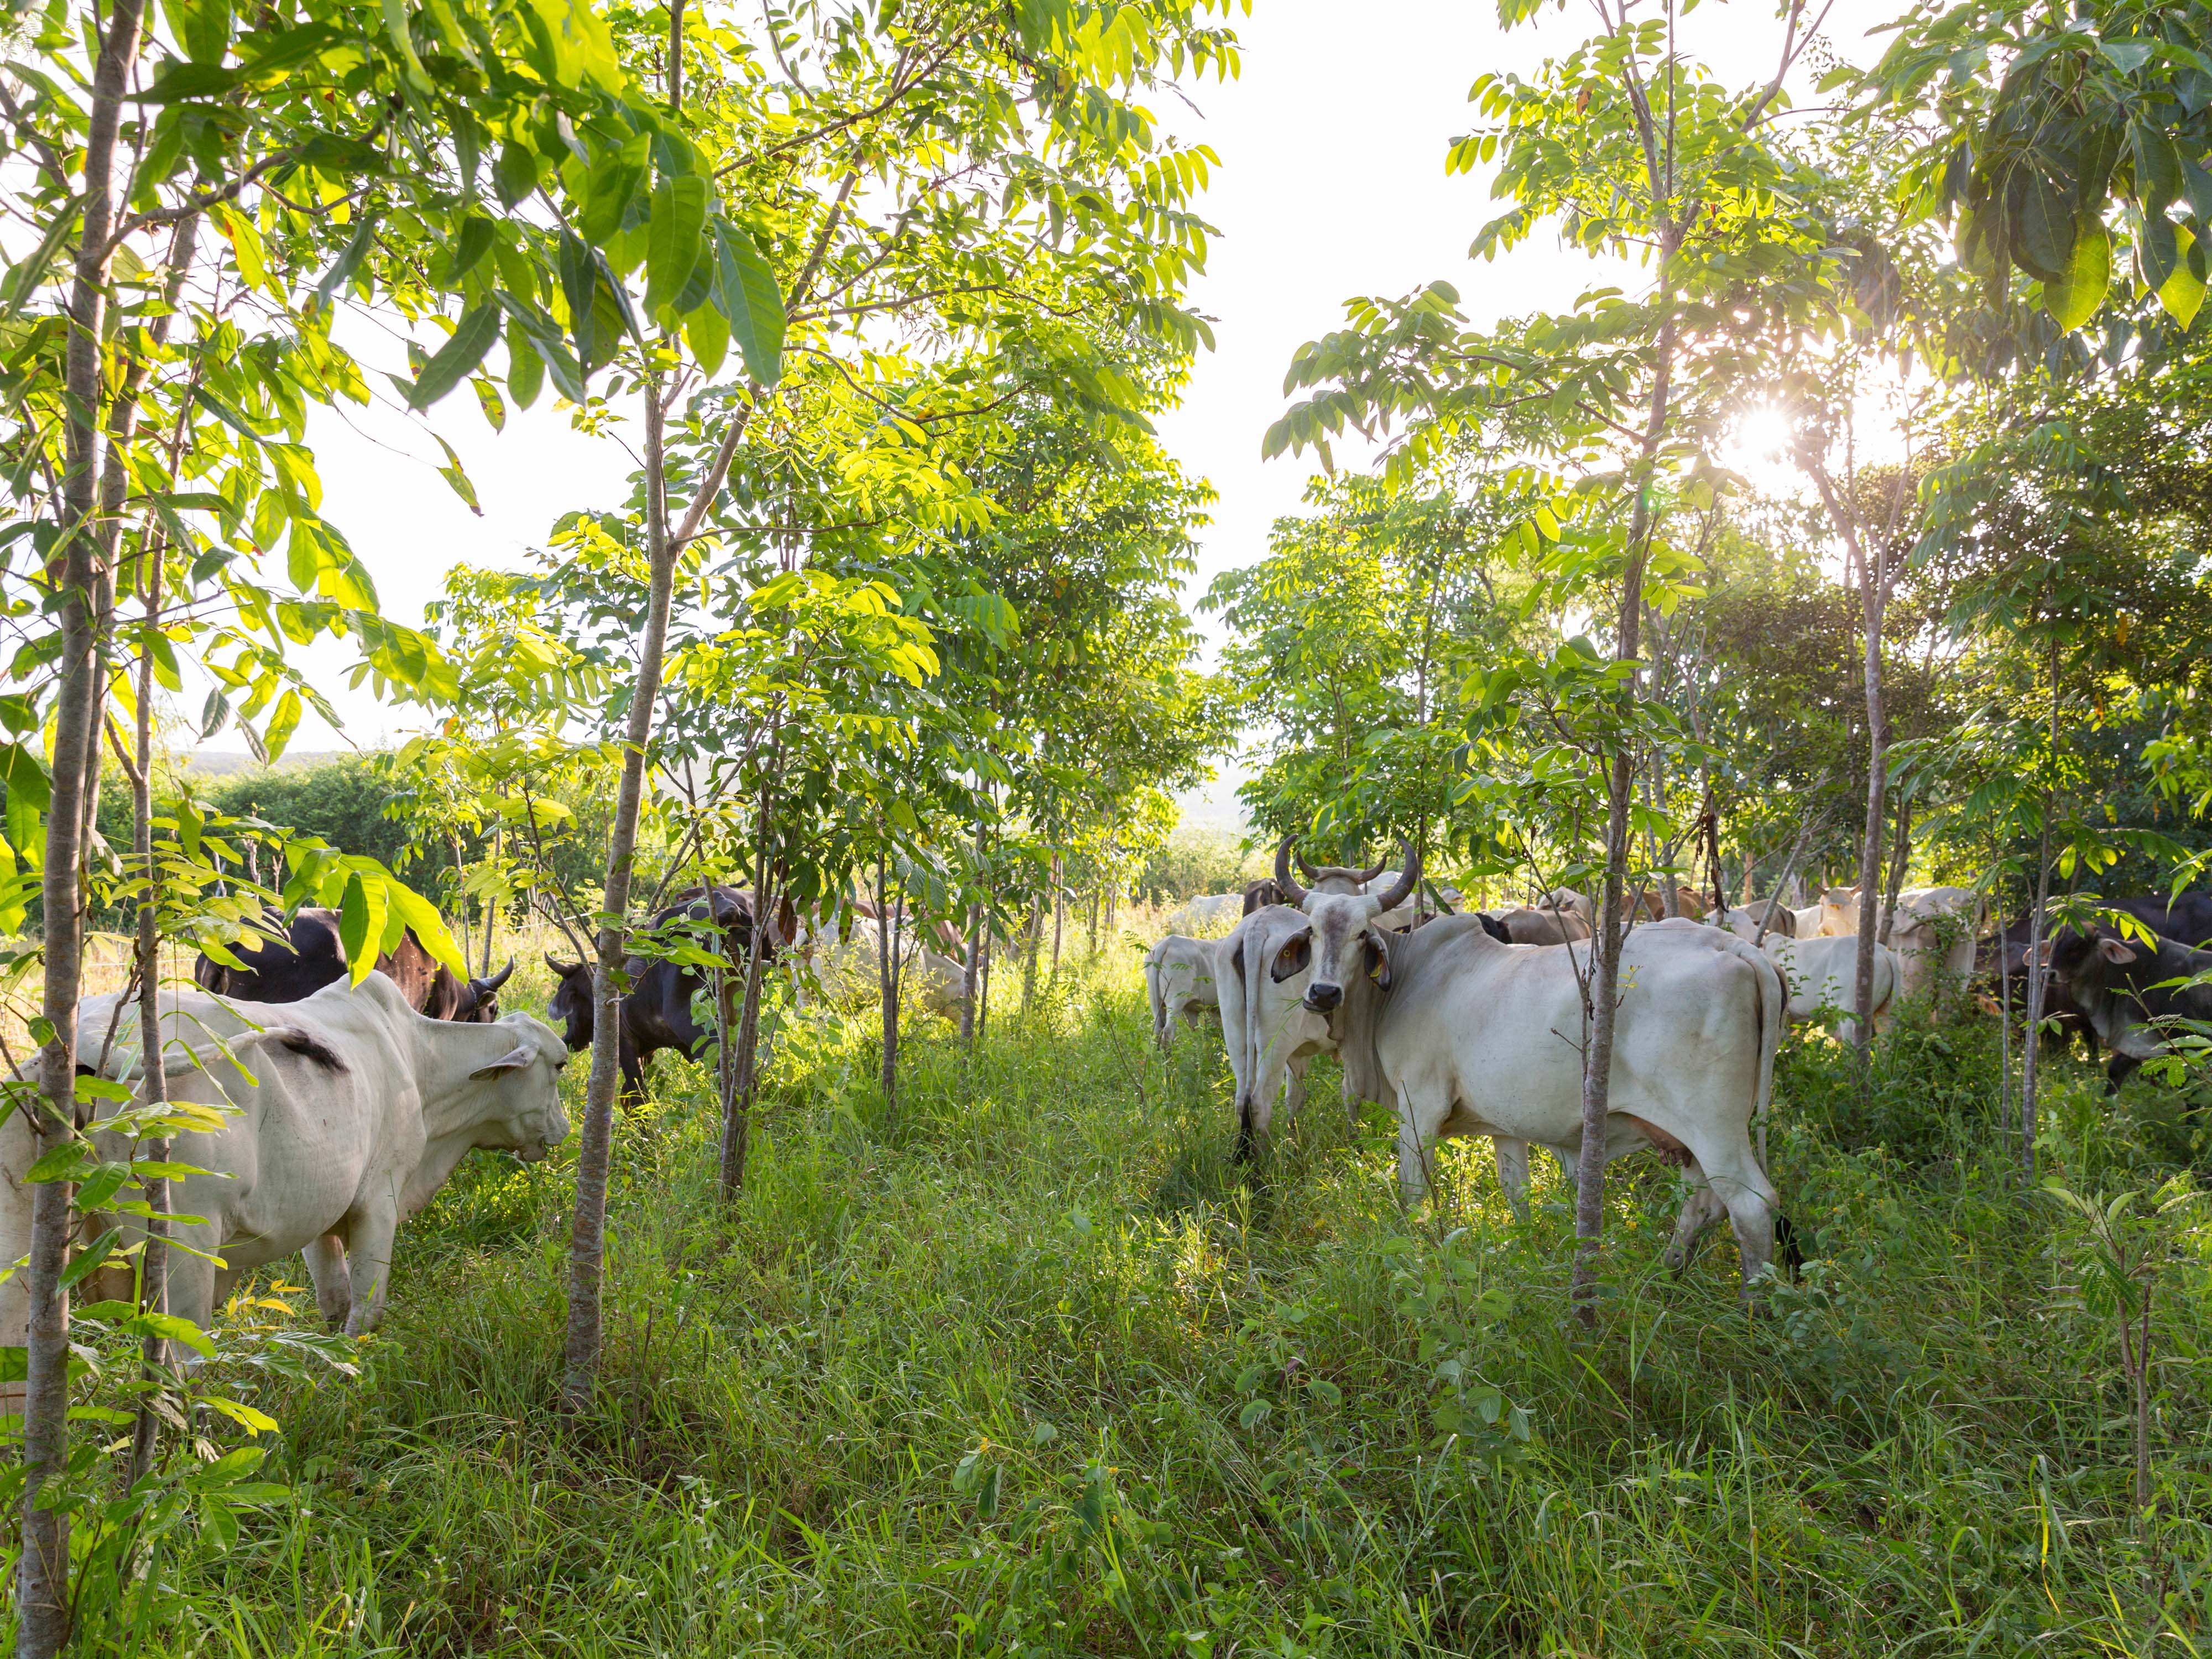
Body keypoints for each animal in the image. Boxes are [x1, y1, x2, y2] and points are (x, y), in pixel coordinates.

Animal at [2, 973, 571, 1354]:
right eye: (561, 1066)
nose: (563, 1132)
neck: (419, 1058)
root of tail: (92, 1039)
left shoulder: (323, 1214)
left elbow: (335, 1302)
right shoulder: (378, 1203)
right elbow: (364, 1313)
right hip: (187, 1240)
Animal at [544, 889, 779, 1110]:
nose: (568, 1040)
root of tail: (728, 911)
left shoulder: (624, 1044)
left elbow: (637, 1096)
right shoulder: (648, 1047)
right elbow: (628, 1095)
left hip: (694, 1025)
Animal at [1239, 849, 1787, 1292]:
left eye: (1359, 935)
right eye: (1312, 932)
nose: (1323, 993)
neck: (1406, 978)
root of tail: (1734, 947)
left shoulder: (1420, 1108)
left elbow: (1413, 1195)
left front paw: (1411, 1255)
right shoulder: (1505, 1127)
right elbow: (1517, 1197)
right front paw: (1527, 1257)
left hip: (1712, 1127)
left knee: (1751, 1205)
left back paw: (1752, 1306)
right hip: (1696, 1138)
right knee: (1703, 1204)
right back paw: (1668, 1274)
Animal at [2035, 929, 2212, 1097]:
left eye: (2079, 946)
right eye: (2054, 944)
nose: (2048, 974)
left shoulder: (2187, 1045)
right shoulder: (2136, 1042)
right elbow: (2115, 1070)